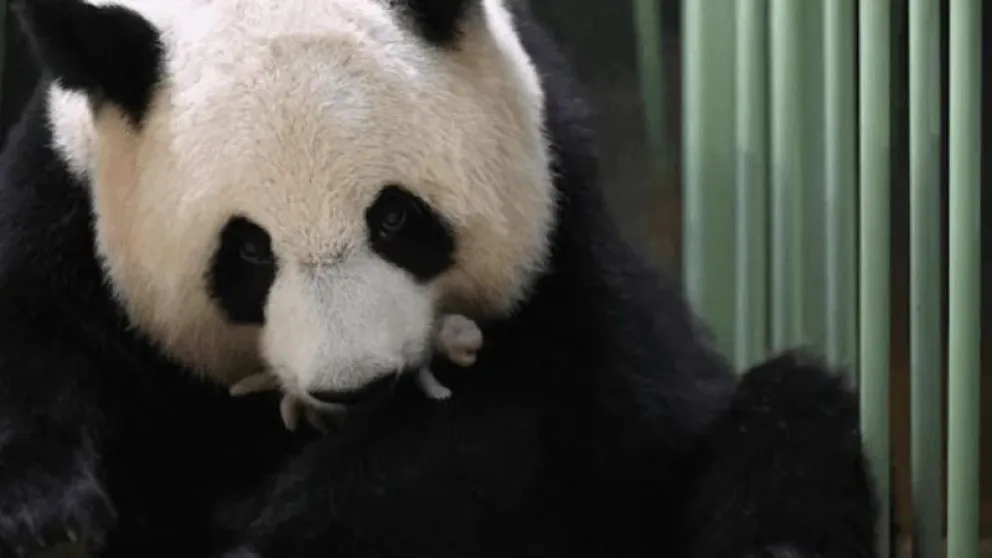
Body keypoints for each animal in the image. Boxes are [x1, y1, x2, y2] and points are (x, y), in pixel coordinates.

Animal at [0, 0, 878, 557]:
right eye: (246, 252)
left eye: (395, 218)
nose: (356, 387)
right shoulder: (70, 195)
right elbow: (36, 338)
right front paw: (50, 520)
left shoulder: (558, 216)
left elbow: (525, 420)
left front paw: (288, 529)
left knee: (789, 423)